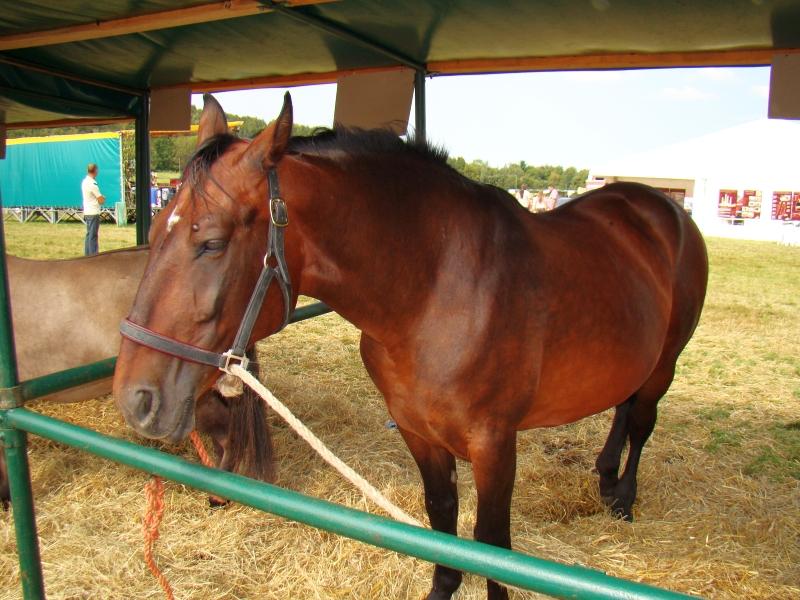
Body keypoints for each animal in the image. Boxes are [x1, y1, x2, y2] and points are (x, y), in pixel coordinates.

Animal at [112, 93, 708, 600]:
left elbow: (493, 543)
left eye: (211, 242)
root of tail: (661, 206)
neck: (436, 289)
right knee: (624, 406)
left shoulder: (495, 444)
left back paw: (623, 497)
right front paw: (444, 585)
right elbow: (441, 518)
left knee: (641, 420)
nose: (135, 398)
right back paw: (604, 478)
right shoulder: (418, 431)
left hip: (666, 364)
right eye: (156, 234)